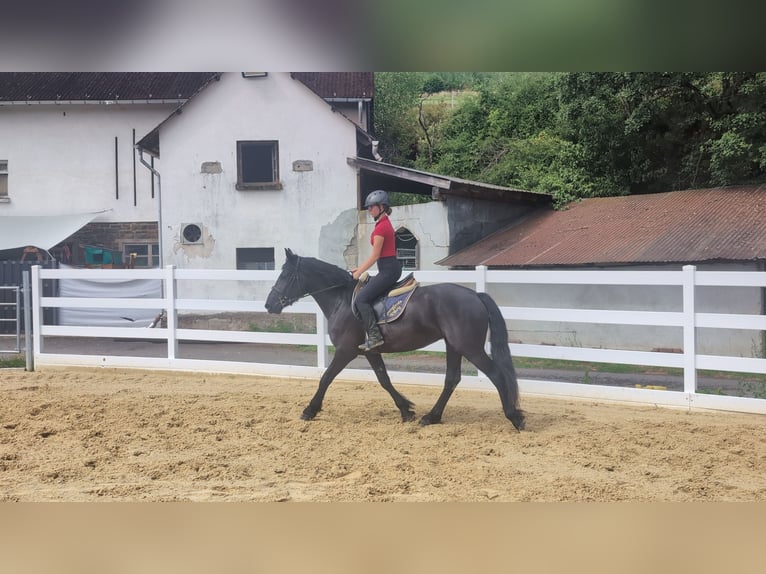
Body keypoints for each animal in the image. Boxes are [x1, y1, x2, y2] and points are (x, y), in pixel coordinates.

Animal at [264, 248, 525, 430]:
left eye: (286, 275)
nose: (269, 305)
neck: (342, 299)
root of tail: (476, 295)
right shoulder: (370, 351)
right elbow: (384, 380)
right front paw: (406, 410)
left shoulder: (346, 350)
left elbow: (326, 378)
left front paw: (310, 410)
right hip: (454, 345)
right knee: (452, 379)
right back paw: (431, 417)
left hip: (470, 347)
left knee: (496, 375)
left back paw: (514, 417)